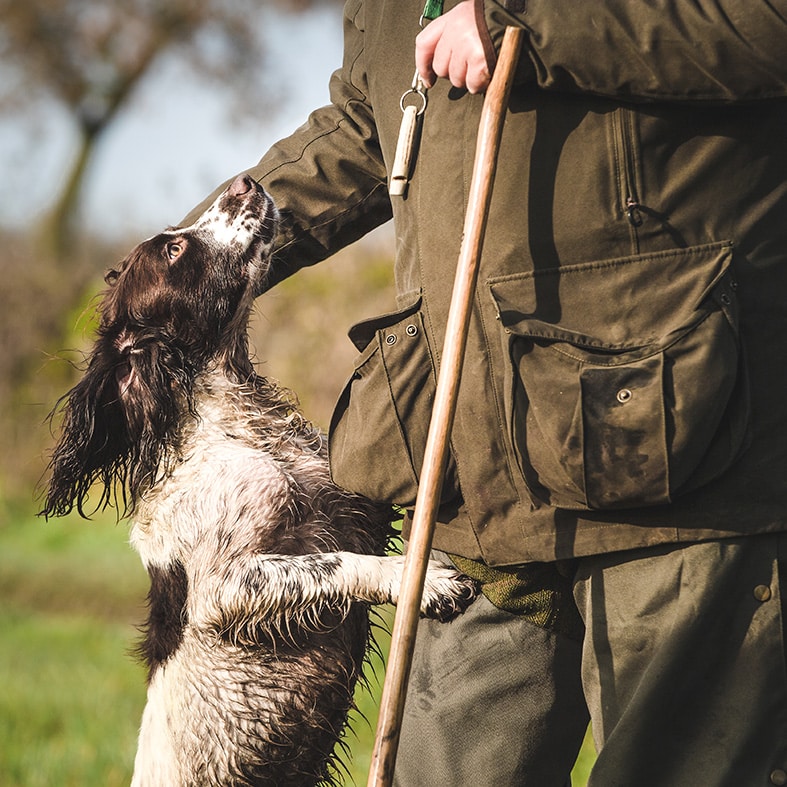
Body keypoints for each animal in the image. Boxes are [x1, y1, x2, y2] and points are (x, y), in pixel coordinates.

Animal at [43, 175, 480, 784]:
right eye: (174, 250)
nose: (244, 182)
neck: (240, 428)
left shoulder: (358, 510)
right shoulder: (225, 589)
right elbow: (332, 563)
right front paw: (424, 581)